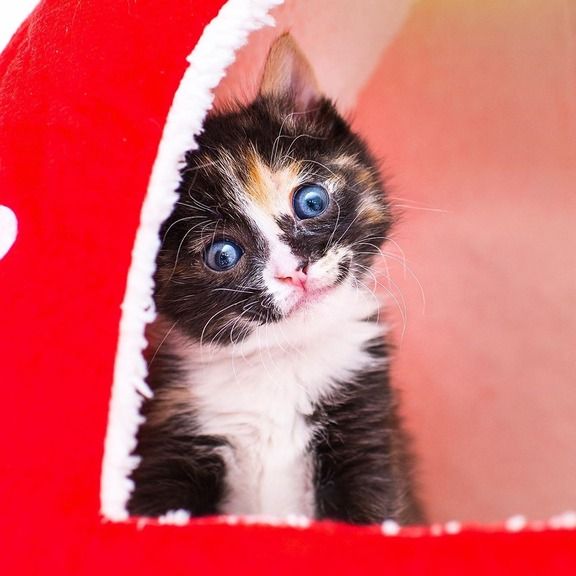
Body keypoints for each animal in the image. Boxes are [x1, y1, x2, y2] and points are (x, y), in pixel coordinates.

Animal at [127, 34, 424, 525]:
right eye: (222, 254)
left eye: (311, 201)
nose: (294, 272)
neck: (282, 361)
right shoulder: (168, 437)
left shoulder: (369, 430)